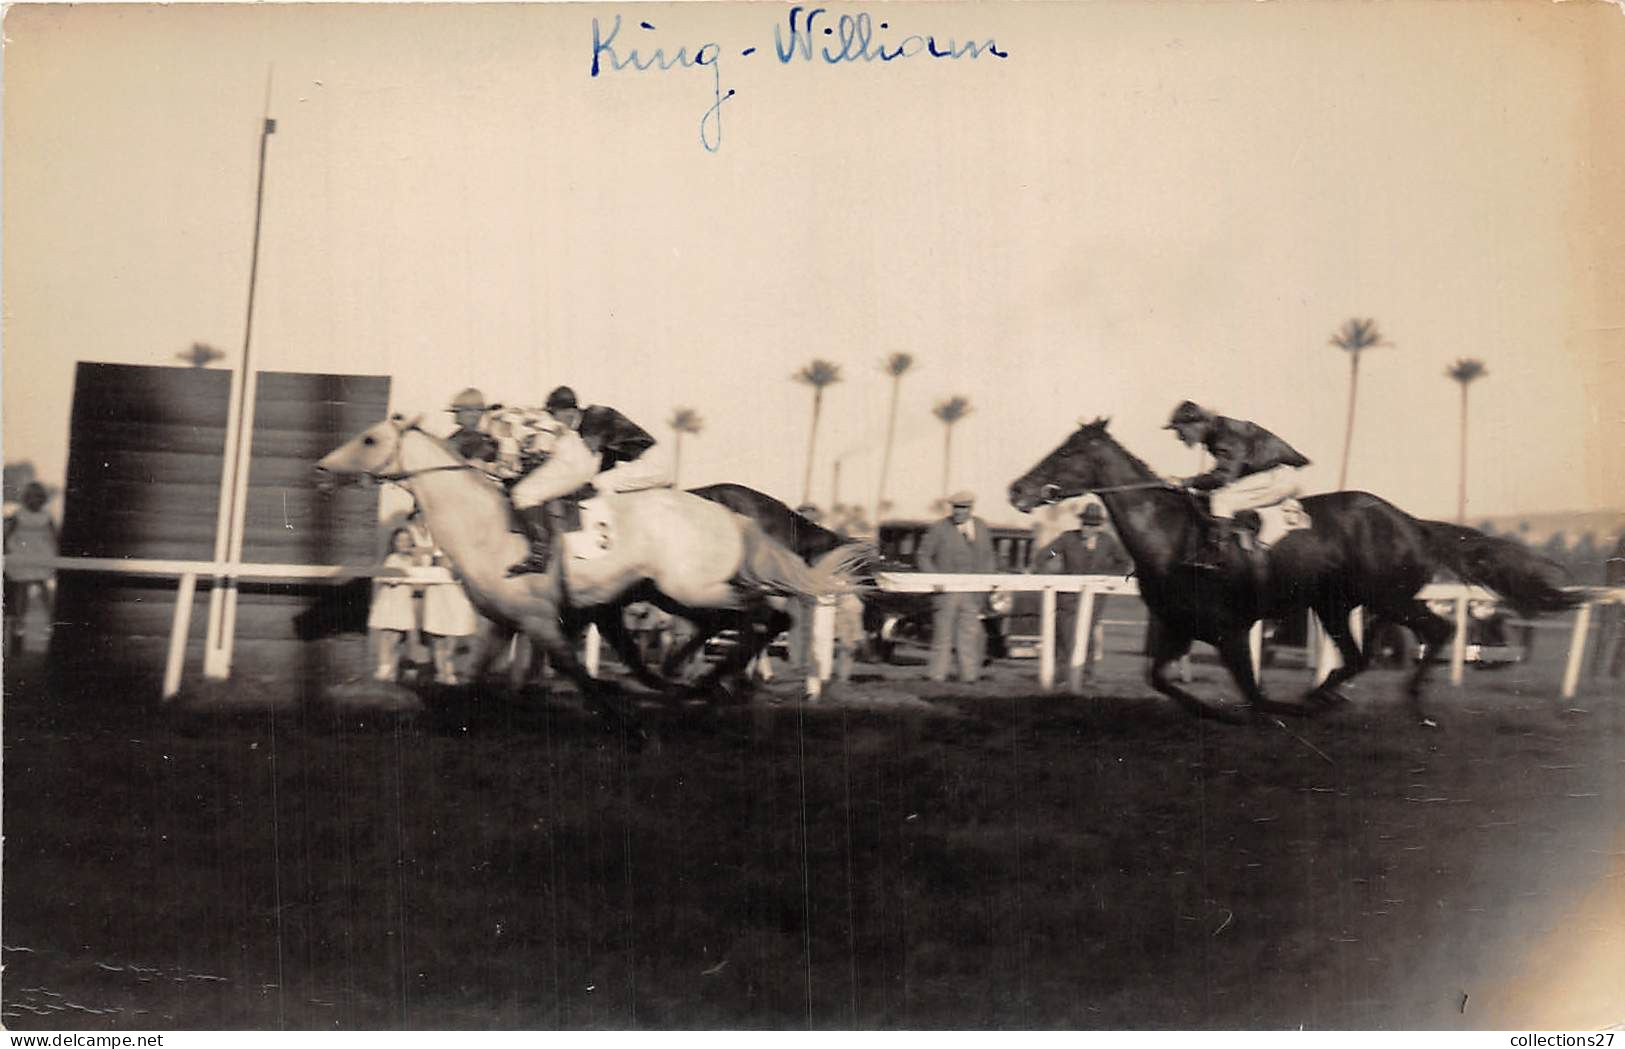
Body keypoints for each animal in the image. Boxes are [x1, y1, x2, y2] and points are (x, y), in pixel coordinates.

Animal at [313, 415, 864, 737]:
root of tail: (734, 516)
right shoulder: (504, 621)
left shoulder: (540, 618)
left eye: (369, 438)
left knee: (762, 618)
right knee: (750, 622)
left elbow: (574, 669)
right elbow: (477, 676)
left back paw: (705, 683)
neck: (485, 526)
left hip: (692, 587)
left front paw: (625, 717)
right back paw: (698, 682)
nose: (320, 468)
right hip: (680, 593)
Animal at [1007, 418, 1579, 724]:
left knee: (1437, 629)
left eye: (1068, 452)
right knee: (1357, 656)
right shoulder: (1177, 626)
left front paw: (1261, 710)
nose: (1016, 490)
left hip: (1388, 597)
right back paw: (1323, 694)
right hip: (1335, 604)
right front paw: (1222, 711)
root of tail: (1411, 521)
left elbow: (1255, 694)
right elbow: (1161, 679)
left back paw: (1408, 701)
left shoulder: (1230, 631)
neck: (1173, 536)